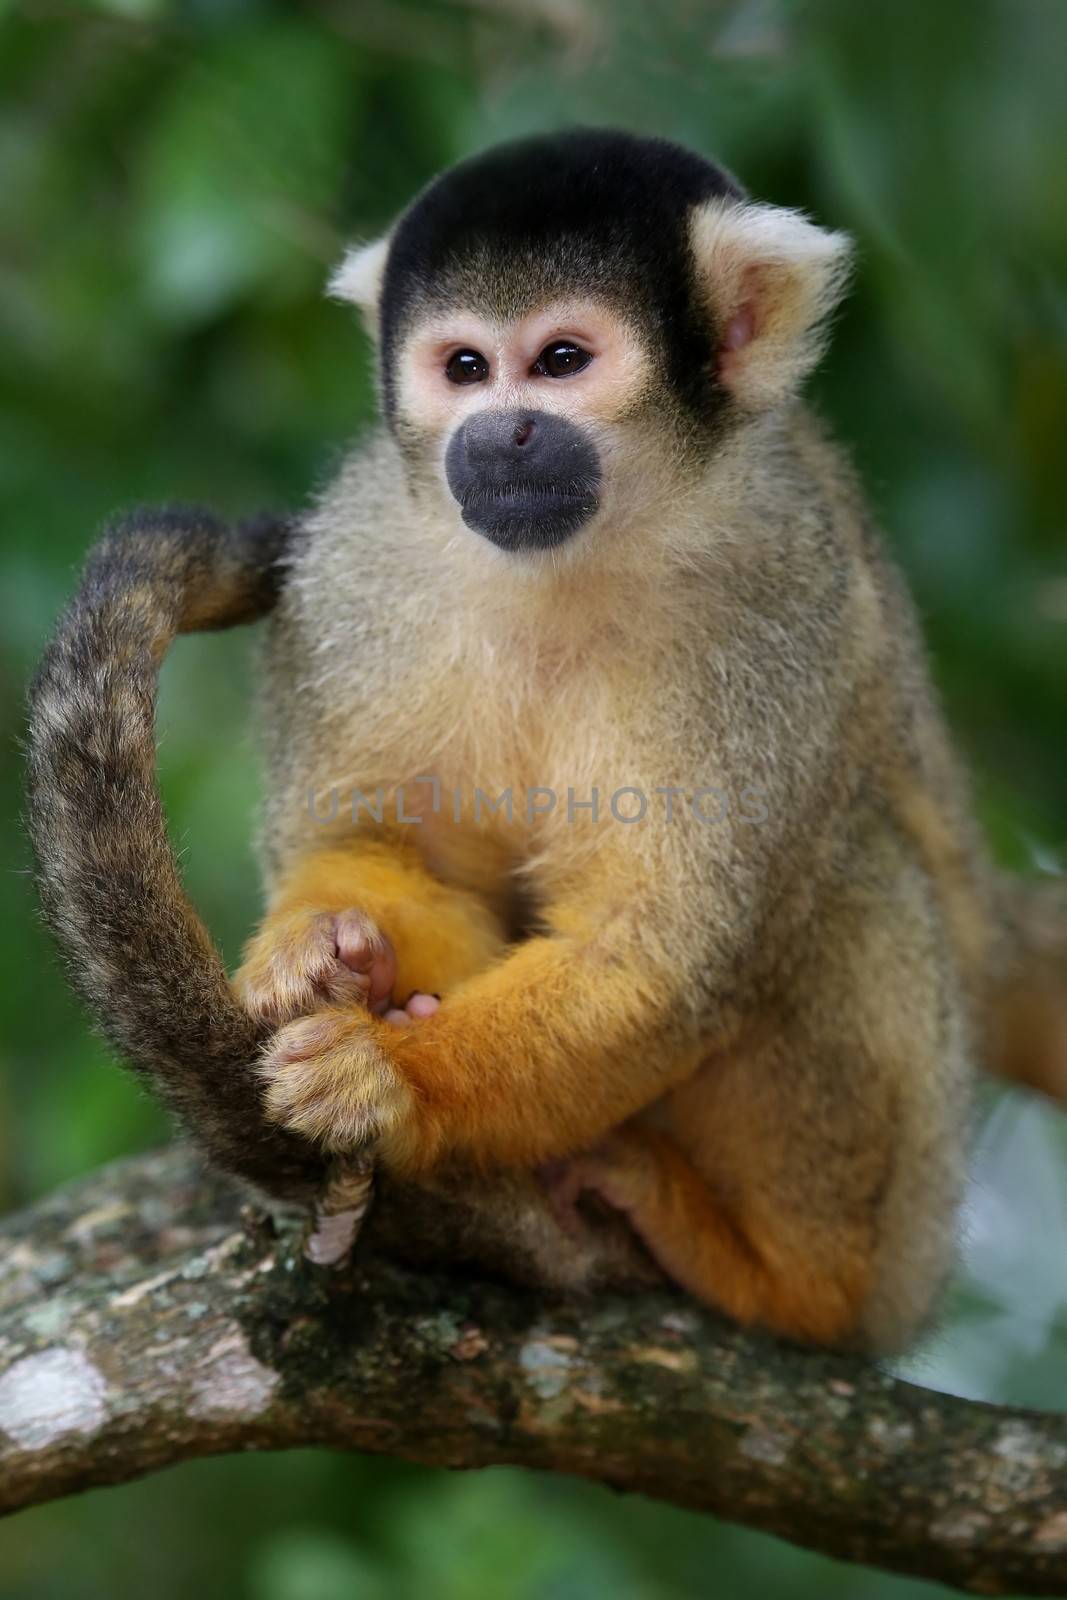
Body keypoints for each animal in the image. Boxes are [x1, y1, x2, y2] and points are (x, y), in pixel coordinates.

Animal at [27, 131, 1067, 1350]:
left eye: (562, 359)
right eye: (466, 368)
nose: (502, 433)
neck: (573, 559)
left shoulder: (774, 591)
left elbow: (663, 949)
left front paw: (399, 1081)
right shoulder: (359, 558)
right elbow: (394, 848)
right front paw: (325, 947)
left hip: (916, 1211)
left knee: (849, 874)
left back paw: (787, 1277)